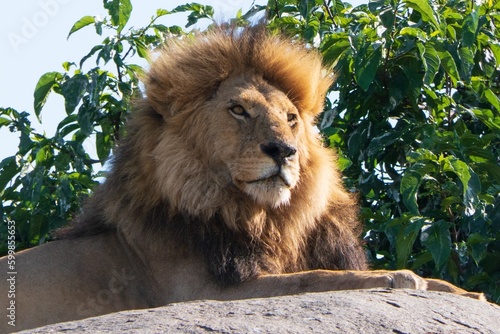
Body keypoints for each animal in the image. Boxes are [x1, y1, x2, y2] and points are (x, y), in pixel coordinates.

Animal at [0, 25, 484, 332]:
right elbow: (318, 279)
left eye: (290, 119)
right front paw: (401, 277)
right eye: (238, 110)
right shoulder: (201, 292)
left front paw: (465, 294)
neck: (259, 216)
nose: (284, 151)